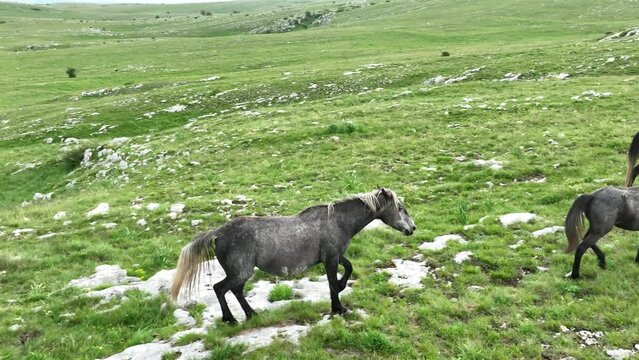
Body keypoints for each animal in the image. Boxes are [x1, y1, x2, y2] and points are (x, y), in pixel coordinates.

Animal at [172, 188, 418, 324]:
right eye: (400, 208)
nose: (412, 228)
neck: (337, 221)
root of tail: (219, 233)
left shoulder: (334, 256)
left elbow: (348, 268)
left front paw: (340, 291)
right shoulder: (330, 259)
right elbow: (332, 283)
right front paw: (338, 308)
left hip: (241, 273)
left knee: (236, 291)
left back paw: (251, 314)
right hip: (241, 272)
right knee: (221, 289)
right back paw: (230, 319)